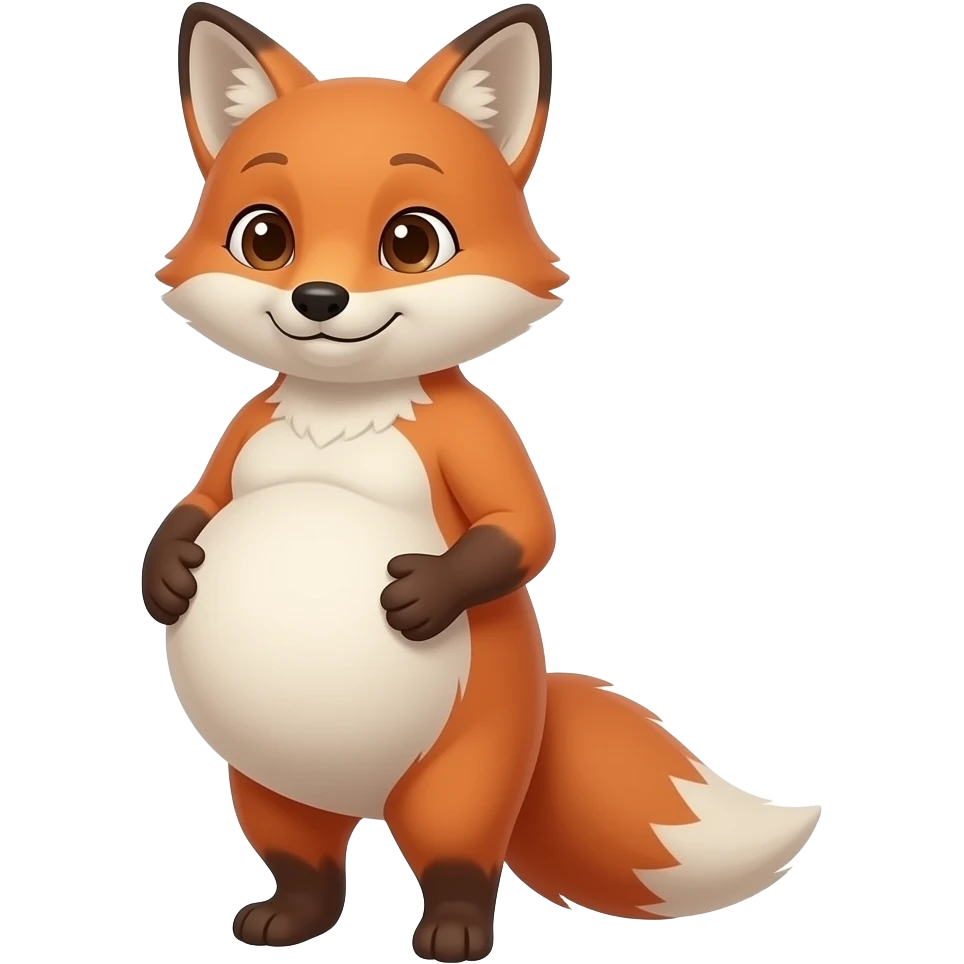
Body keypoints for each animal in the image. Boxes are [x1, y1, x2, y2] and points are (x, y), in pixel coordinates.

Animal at [147, 3, 822, 959]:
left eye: (411, 242)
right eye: (265, 237)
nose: (318, 300)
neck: (340, 407)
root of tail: (368, 802)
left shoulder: (477, 432)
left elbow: (523, 532)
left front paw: (423, 594)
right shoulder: (243, 428)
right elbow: (198, 503)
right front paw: (167, 575)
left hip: (463, 772)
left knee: (459, 856)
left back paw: (456, 931)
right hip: (268, 783)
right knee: (307, 859)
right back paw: (288, 917)